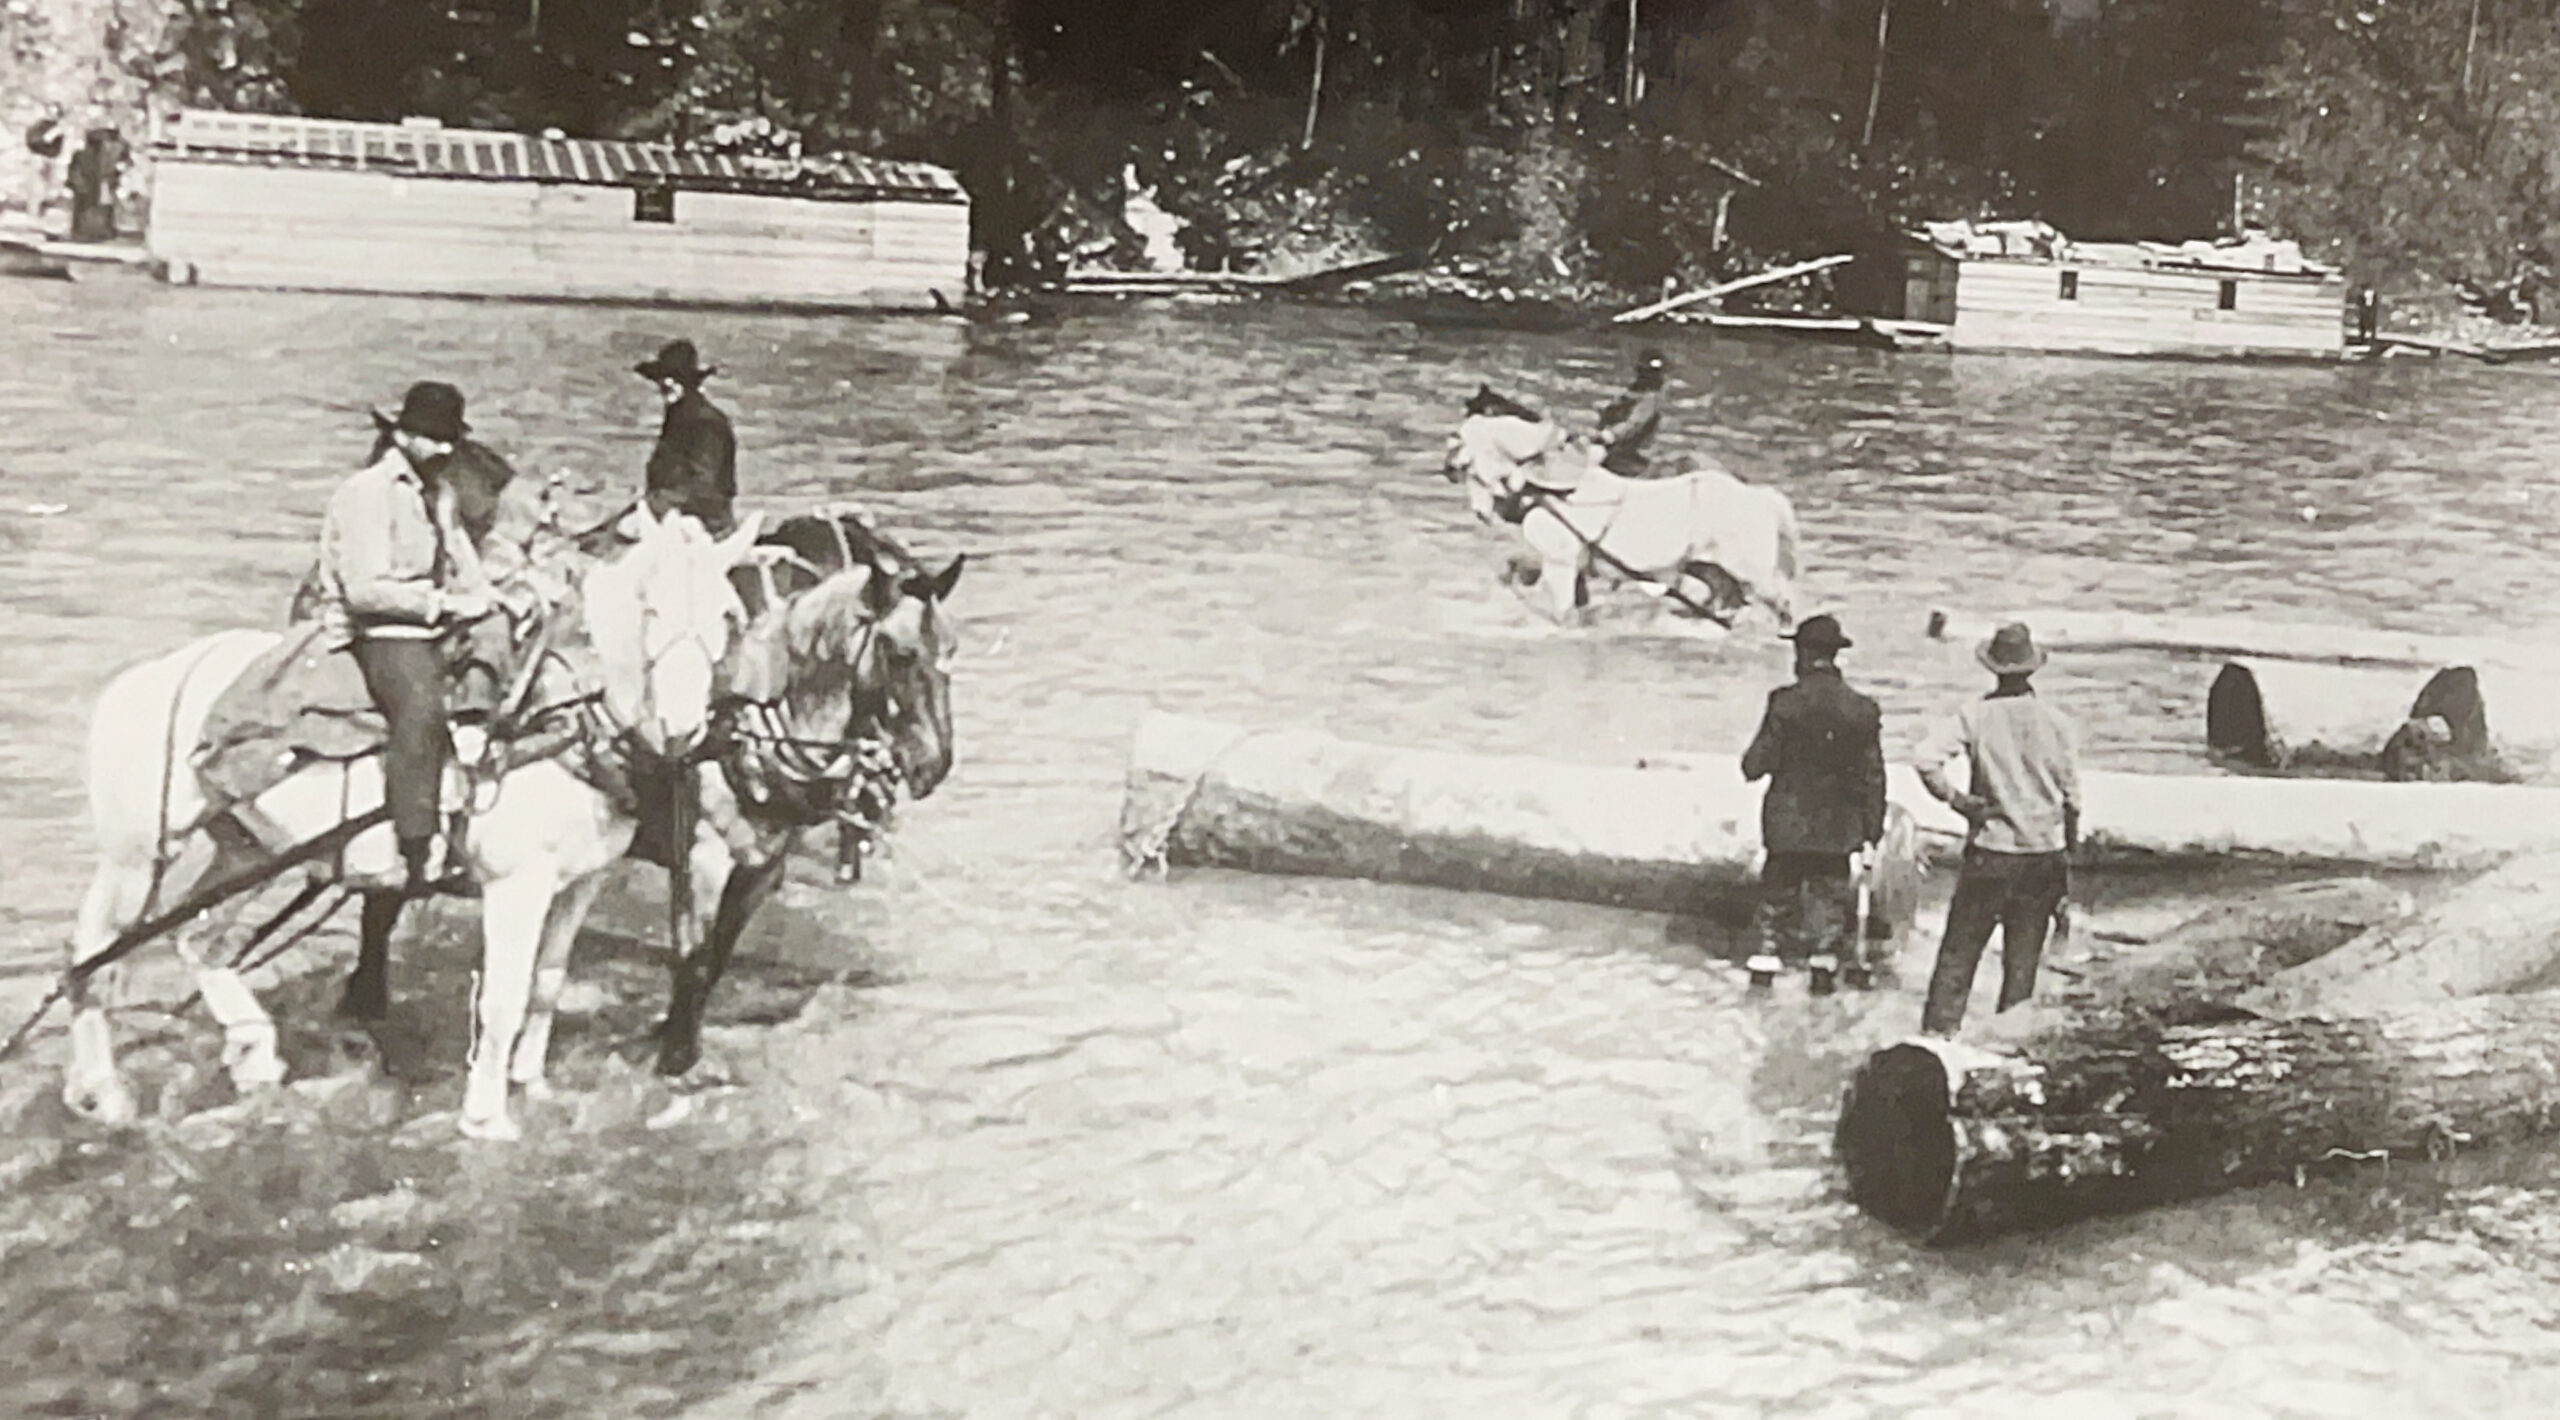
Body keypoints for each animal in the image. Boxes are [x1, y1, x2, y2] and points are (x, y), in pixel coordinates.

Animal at [60, 506, 757, 1141]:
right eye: (650, 610)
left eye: (727, 615)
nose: (682, 729)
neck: (554, 717)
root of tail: (137, 683)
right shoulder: (516, 887)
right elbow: (503, 1000)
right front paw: (487, 1116)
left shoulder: (581, 883)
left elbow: (546, 985)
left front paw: (533, 1084)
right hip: (141, 859)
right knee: (94, 954)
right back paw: (102, 1090)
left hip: (244, 852)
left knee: (199, 943)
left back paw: (252, 1054)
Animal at [1443, 391, 1802, 631]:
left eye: (1460, 436)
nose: (1447, 469)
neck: (1556, 489)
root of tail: (1760, 497)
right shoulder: (1561, 562)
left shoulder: (1559, 563)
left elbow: (1562, 611)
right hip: (1709, 567)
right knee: (1728, 601)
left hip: (1754, 573)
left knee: (1779, 606)